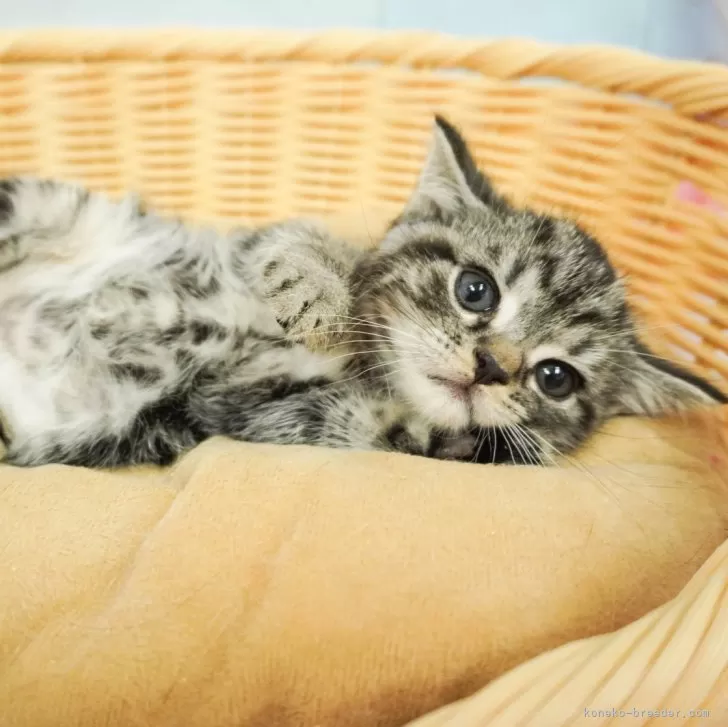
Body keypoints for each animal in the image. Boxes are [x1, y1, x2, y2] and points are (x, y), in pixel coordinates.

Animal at [0, 116, 724, 470]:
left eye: (555, 377)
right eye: (476, 290)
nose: (491, 367)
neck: (370, 369)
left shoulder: (237, 410)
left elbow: (357, 427)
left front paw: (469, 441)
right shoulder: (247, 244)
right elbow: (296, 238)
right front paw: (321, 297)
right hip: (38, 203)